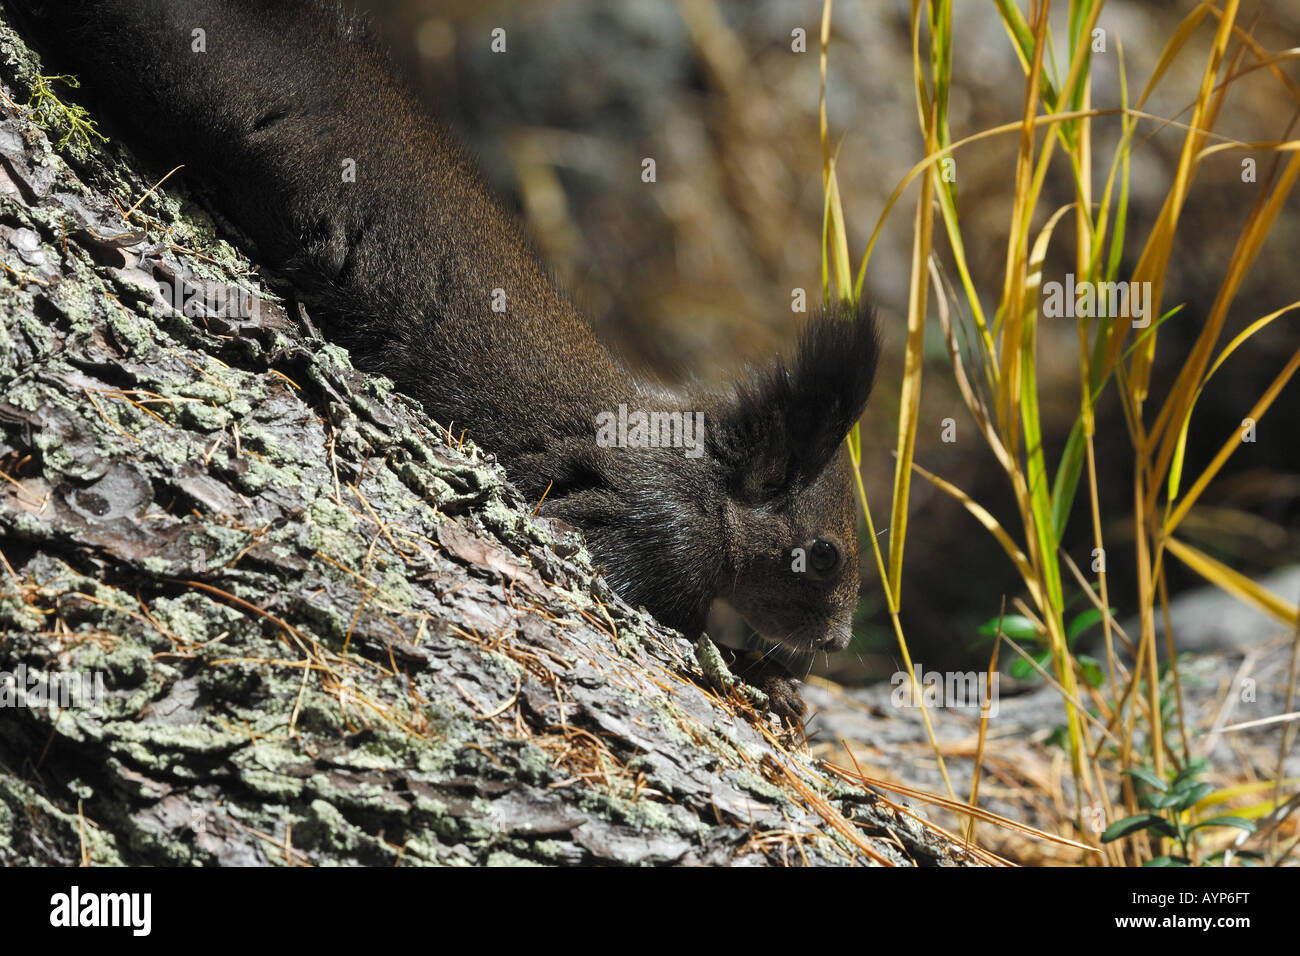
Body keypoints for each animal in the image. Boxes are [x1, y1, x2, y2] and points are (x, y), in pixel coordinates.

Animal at [15, 0, 878, 717]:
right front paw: (763, 678)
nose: (837, 644)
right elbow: (643, 595)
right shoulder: (645, 525)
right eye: (824, 555)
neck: (702, 477)